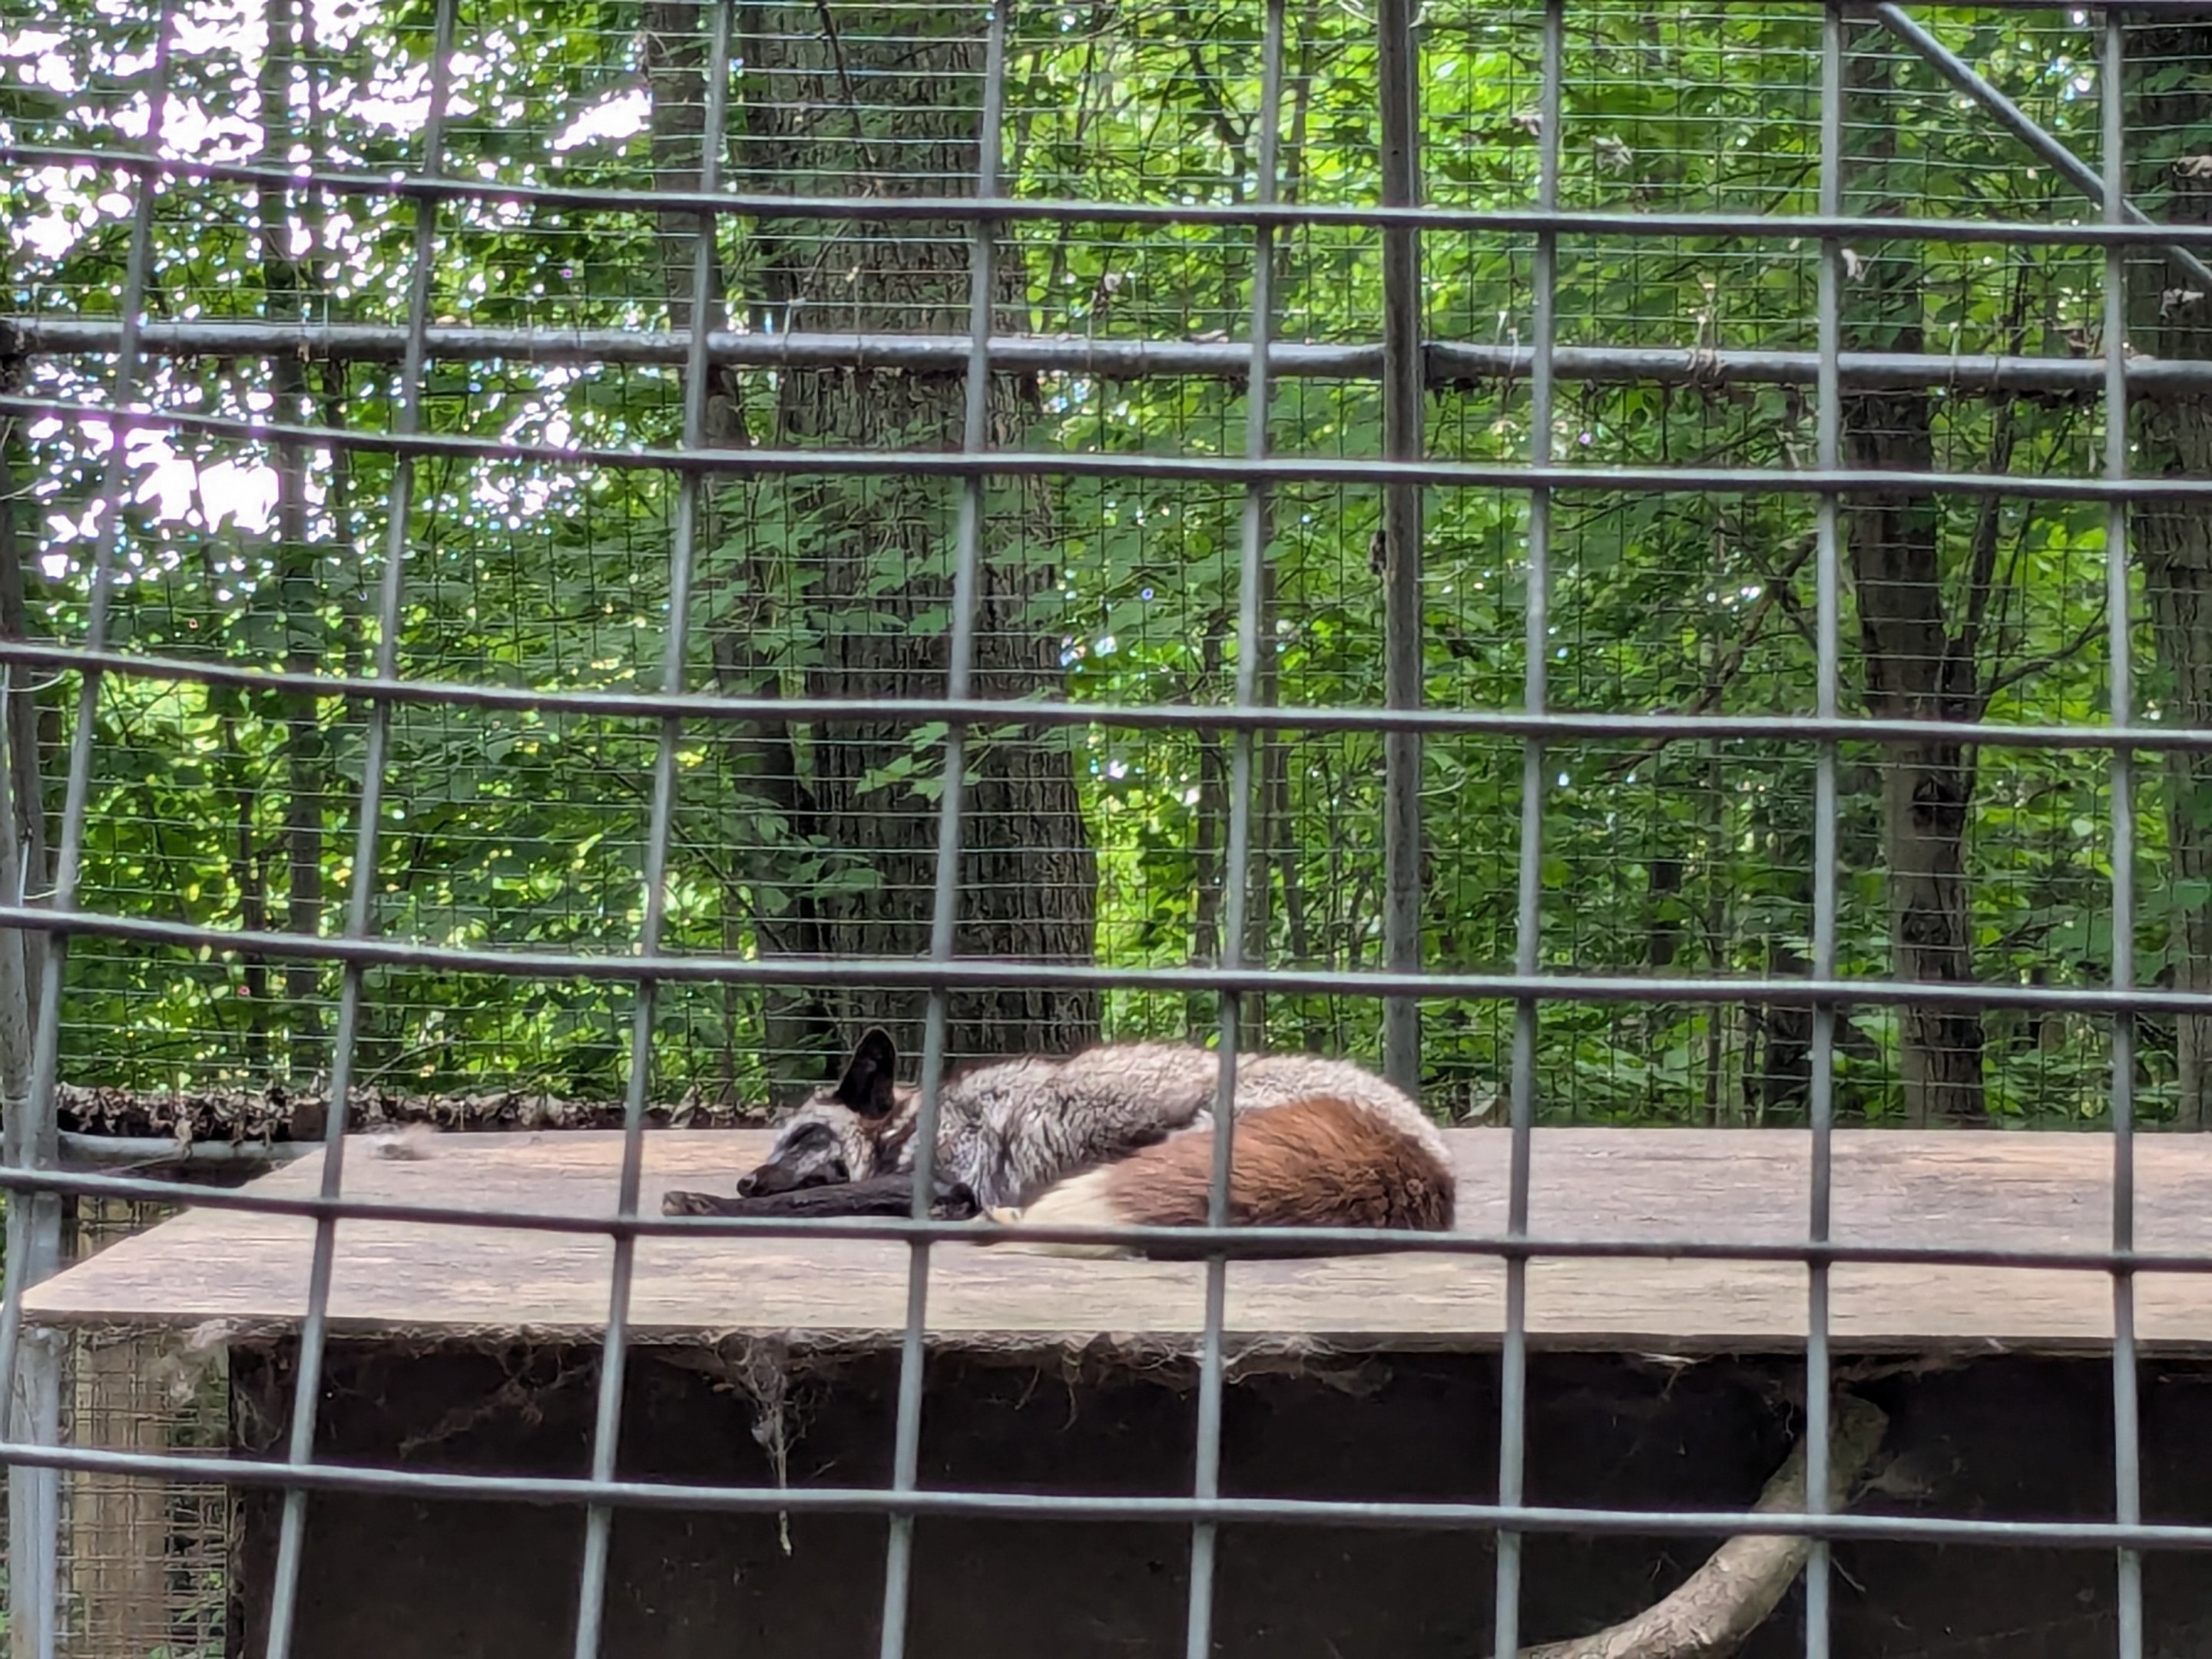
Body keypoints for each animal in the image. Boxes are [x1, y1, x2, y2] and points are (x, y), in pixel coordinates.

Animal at [729, 1026, 1457, 1259]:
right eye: (774, 1143)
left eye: (805, 1135)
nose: (745, 1178)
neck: (915, 1125)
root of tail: (1426, 1162)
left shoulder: (945, 1175)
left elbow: (815, 1200)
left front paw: (716, 1205)